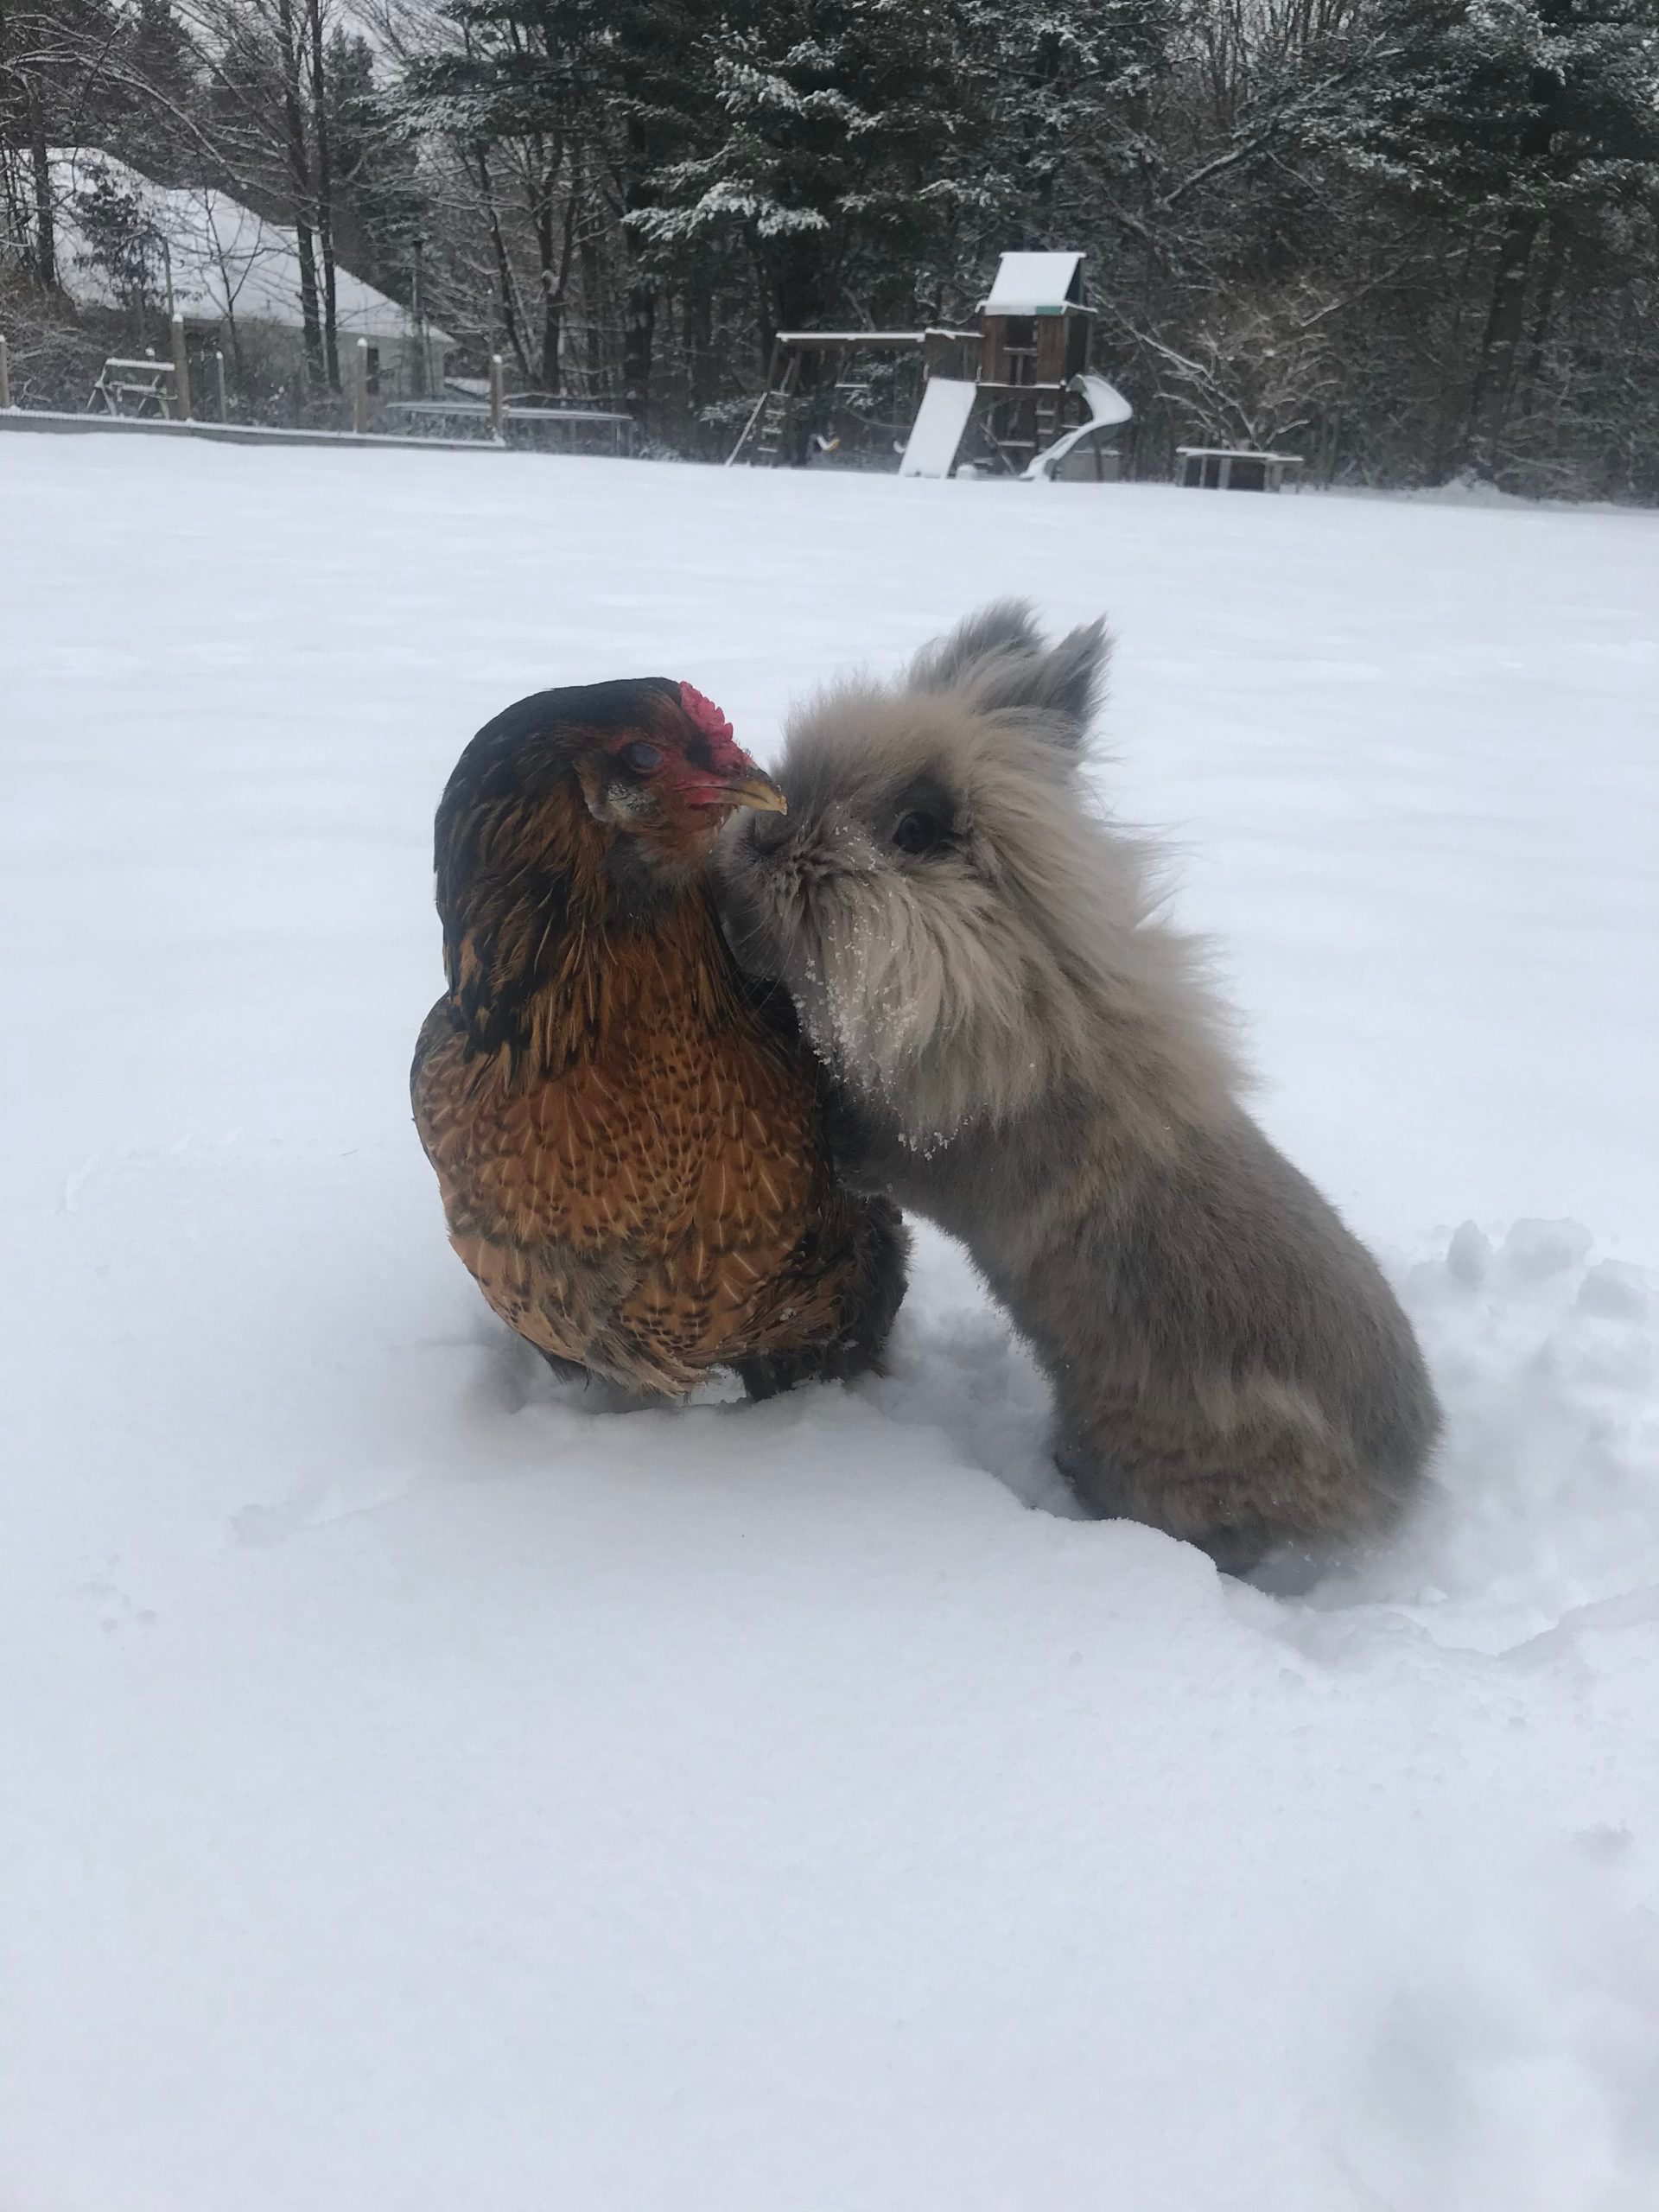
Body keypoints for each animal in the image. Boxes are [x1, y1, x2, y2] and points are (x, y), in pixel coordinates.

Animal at [715, 601, 1441, 1575]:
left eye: (916, 830)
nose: (758, 840)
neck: (1014, 991)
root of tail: (1403, 1488)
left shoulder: (948, 1153)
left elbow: (883, 1150)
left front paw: (830, 1120)